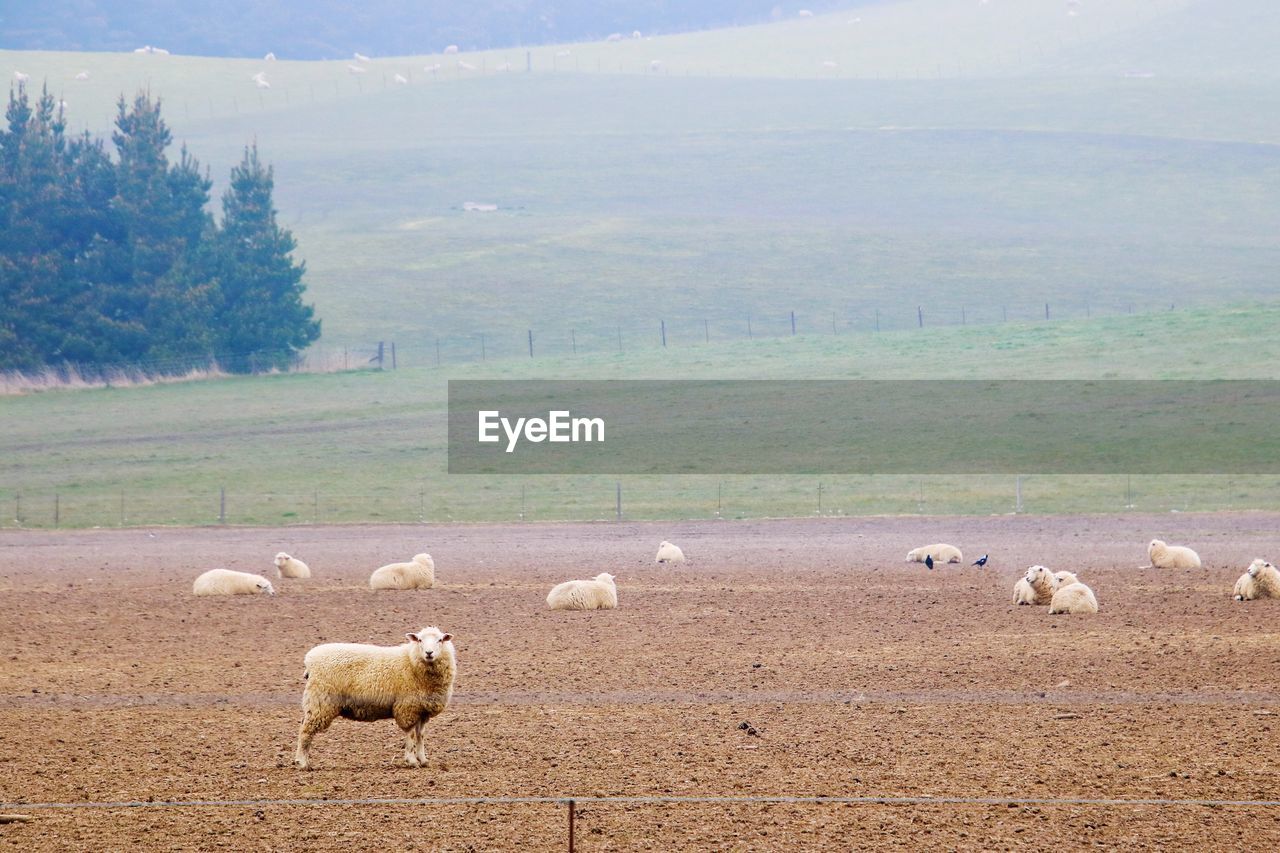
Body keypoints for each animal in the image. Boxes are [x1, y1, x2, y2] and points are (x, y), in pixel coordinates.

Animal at [294, 622, 455, 768]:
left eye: (440, 640)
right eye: (420, 640)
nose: (429, 653)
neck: (411, 661)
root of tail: (309, 660)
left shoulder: (422, 710)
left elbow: (420, 735)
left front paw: (423, 760)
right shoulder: (407, 708)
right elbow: (411, 734)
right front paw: (411, 761)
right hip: (321, 700)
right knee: (305, 730)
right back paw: (302, 763)